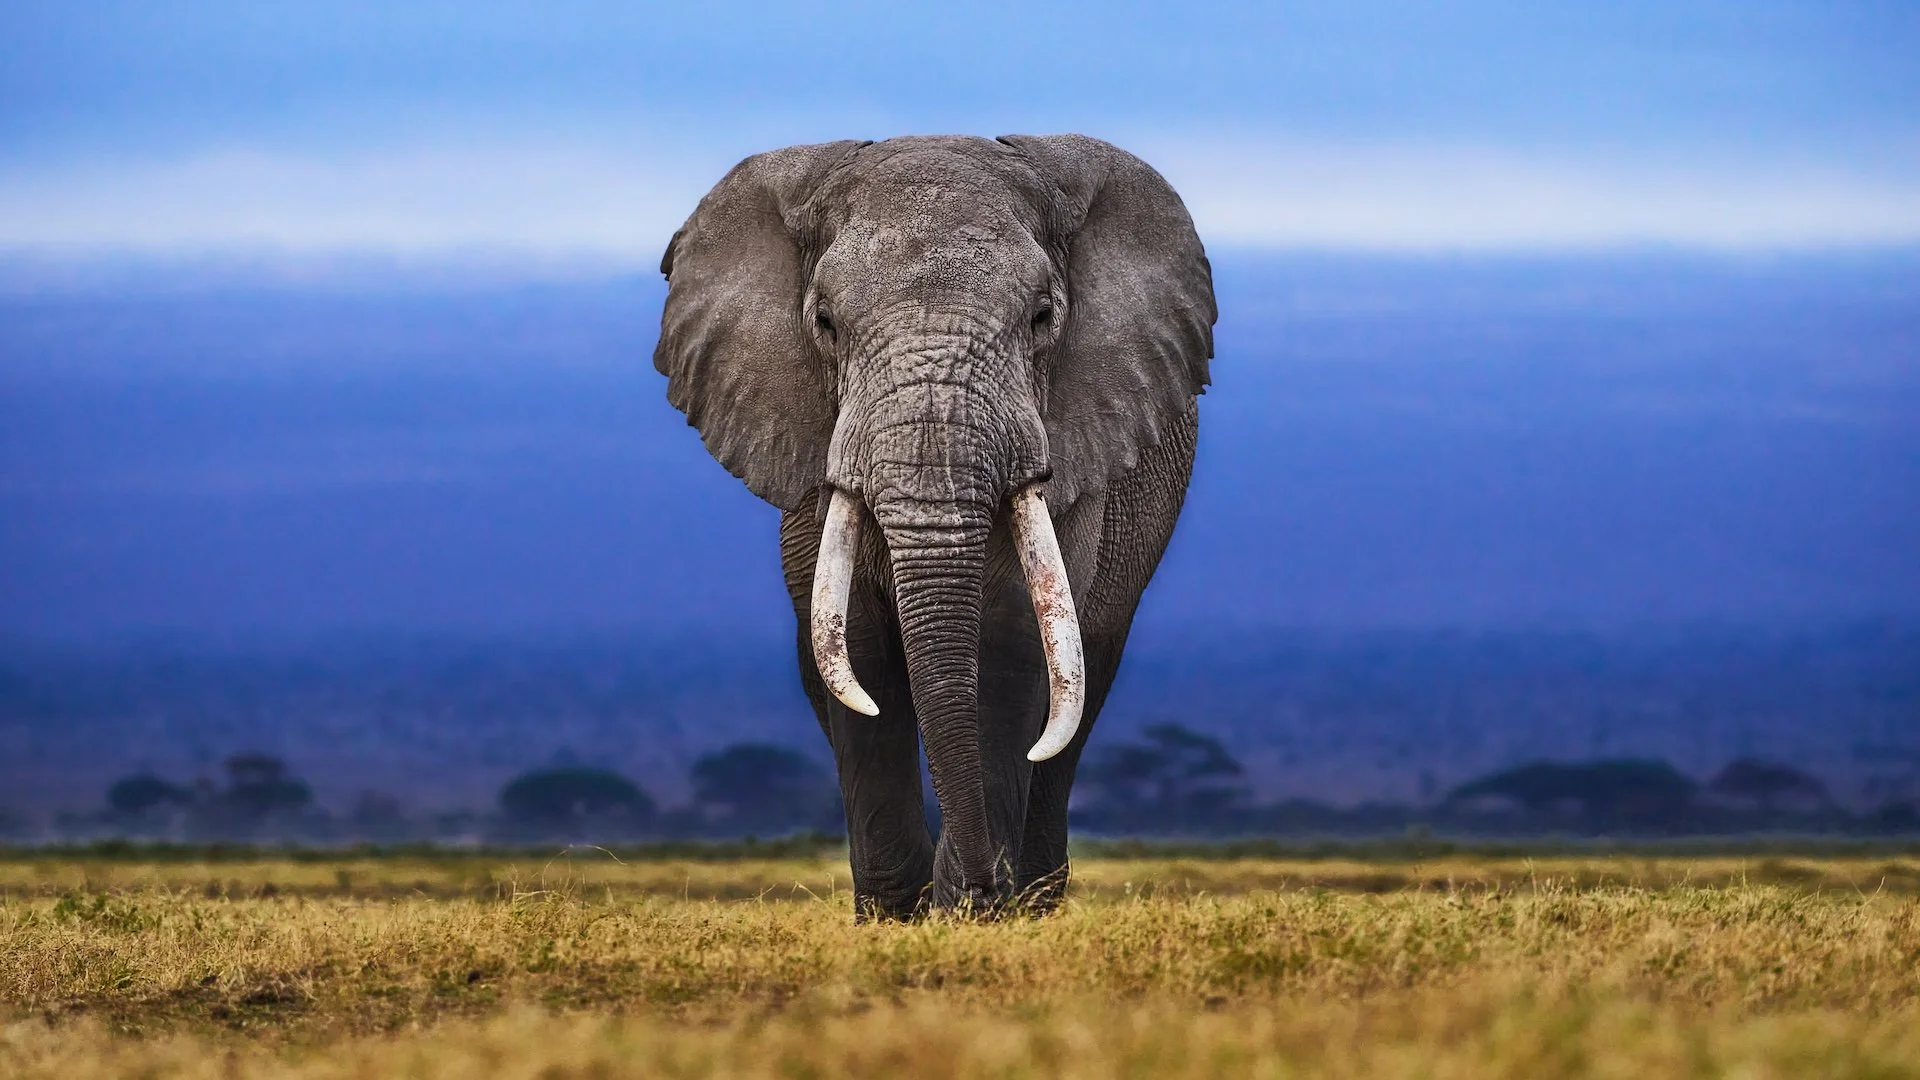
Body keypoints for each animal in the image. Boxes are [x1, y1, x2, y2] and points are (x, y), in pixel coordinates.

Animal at [654, 134, 1215, 917]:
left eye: (1043, 316)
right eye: (824, 323)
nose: (979, 886)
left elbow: (1012, 643)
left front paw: (972, 911)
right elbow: (858, 651)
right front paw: (899, 915)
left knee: (1079, 695)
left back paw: (1033, 898)